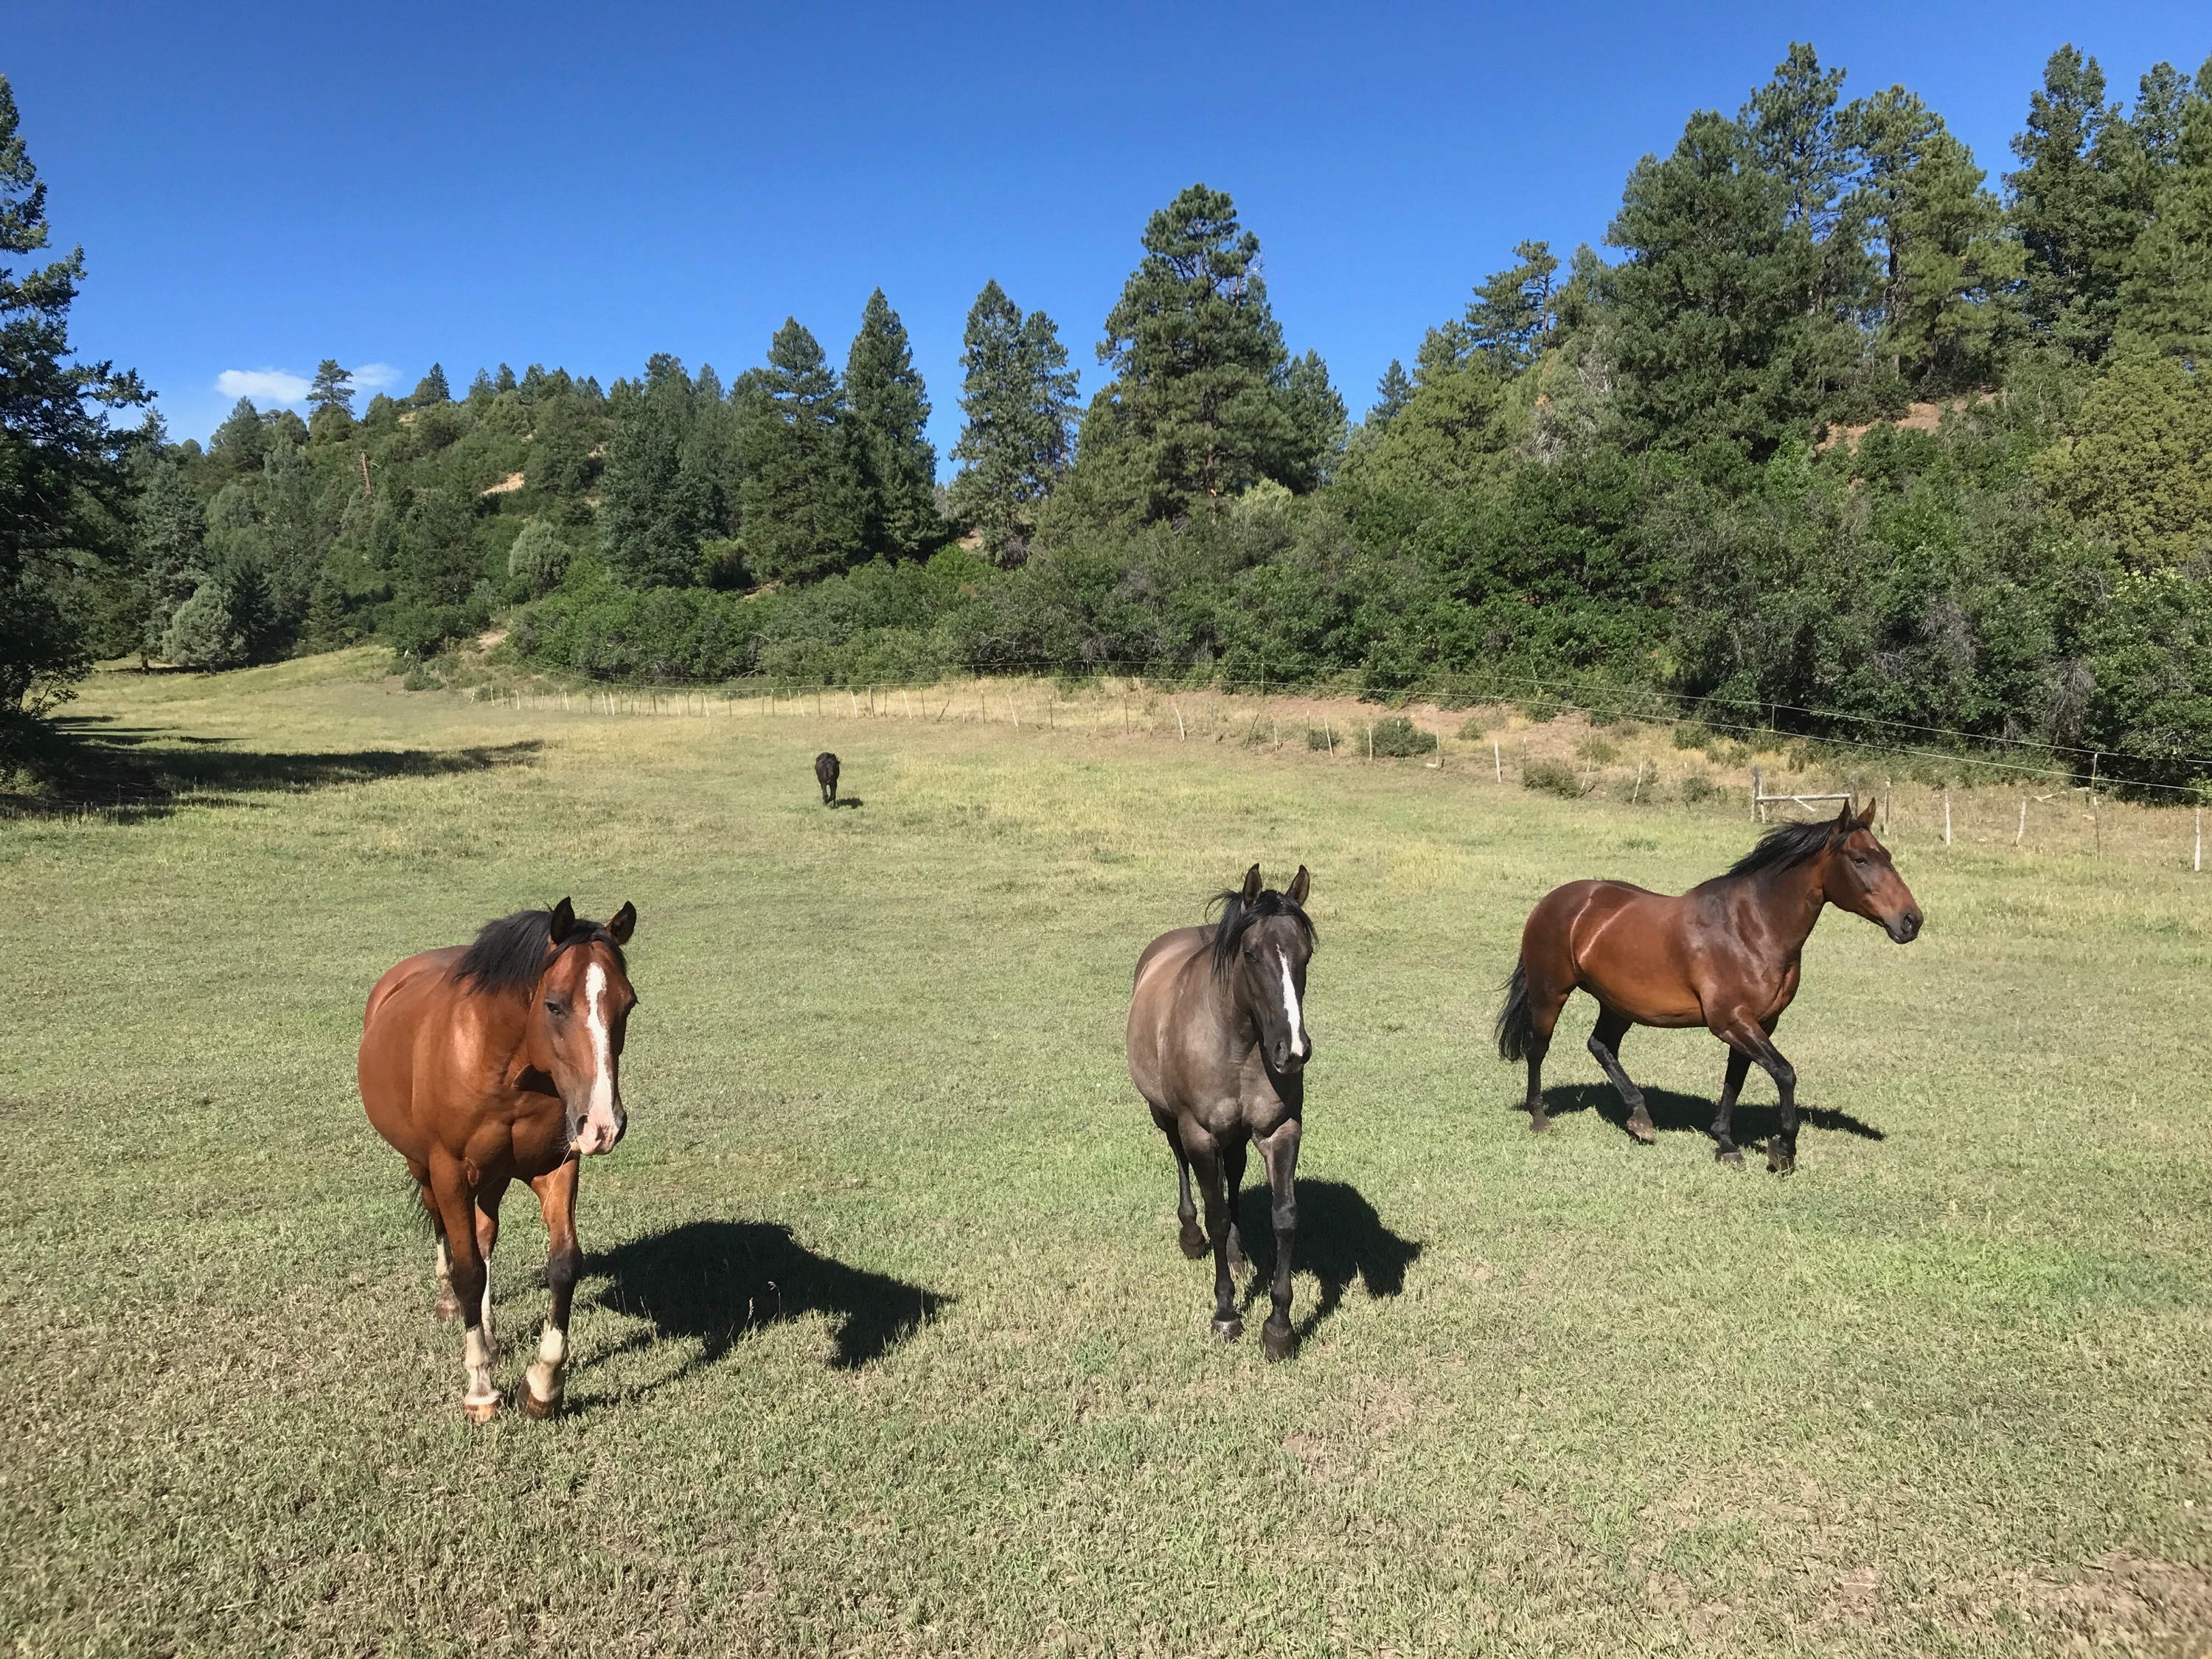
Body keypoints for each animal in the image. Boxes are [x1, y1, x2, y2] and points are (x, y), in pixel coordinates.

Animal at [359, 898, 638, 1421]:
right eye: (554, 1005)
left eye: (627, 1005)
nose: (604, 1125)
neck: (507, 1067)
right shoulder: (449, 1171)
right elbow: (468, 1270)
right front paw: (481, 1388)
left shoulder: (556, 1167)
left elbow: (563, 1265)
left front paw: (544, 1385)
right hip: (425, 1168)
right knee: (448, 1234)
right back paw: (453, 1306)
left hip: (493, 1177)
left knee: (485, 1237)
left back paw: (489, 1335)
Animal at [1127, 864, 1314, 1359]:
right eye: (1251, 954)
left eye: (1306, 956)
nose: (1293, 1051)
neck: (1239, 1044)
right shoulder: (1200, 1132)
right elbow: (1216, 1214)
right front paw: (1227, 1312)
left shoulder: (1280, 1130)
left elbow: (1284, 1217)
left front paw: (1279, 1326)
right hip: (1166, 1116)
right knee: (1182, 1165)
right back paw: (1192, 1237)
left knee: (1233, 1176)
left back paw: (1234, 1251)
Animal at [1495, 799, 1920, 1174]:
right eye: (1860, 859)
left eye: (1888, 854)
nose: (1911, 921)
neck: (1751, 928)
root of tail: (1554, 900)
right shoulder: (1731, 1021)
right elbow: (1785, 1073)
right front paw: (1783, 1149)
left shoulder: (1758, 1024)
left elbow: (1736, 1081)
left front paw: (1725, 1144)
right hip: (1550, 994)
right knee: (1538, 1049)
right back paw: (1540, 1118)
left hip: (1617, 1004)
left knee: (1601, 1046)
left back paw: (1640, 1118)